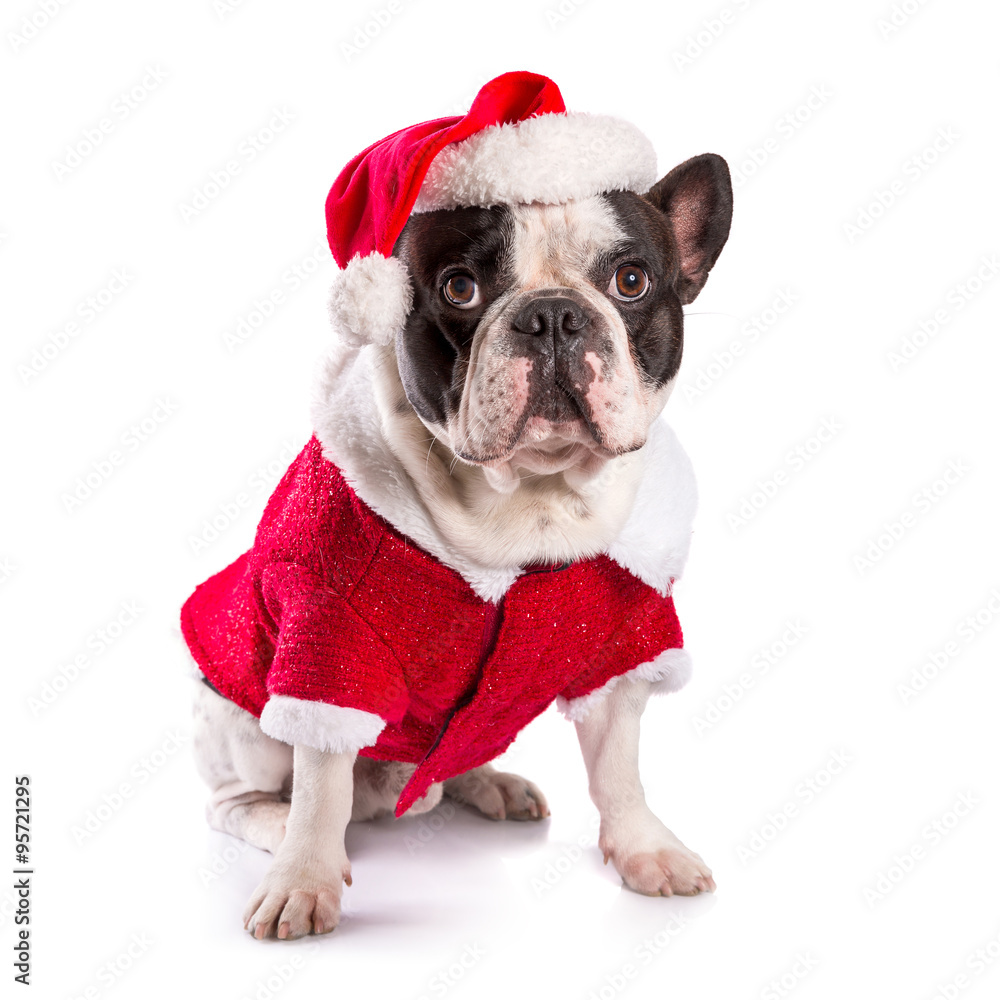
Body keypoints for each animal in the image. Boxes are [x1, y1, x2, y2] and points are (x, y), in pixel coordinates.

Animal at [186, 74, 736, 940]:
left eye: (632, 281)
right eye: (460, 289)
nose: (553, 314)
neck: (534, 501)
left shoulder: (626, 641)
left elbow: (619, 768)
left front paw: (646, 848)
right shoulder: (329, 639)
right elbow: (321, 783)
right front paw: (303, 880)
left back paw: (491, 783)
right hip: (239, 723)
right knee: (245, 796)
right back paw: (275, 823)